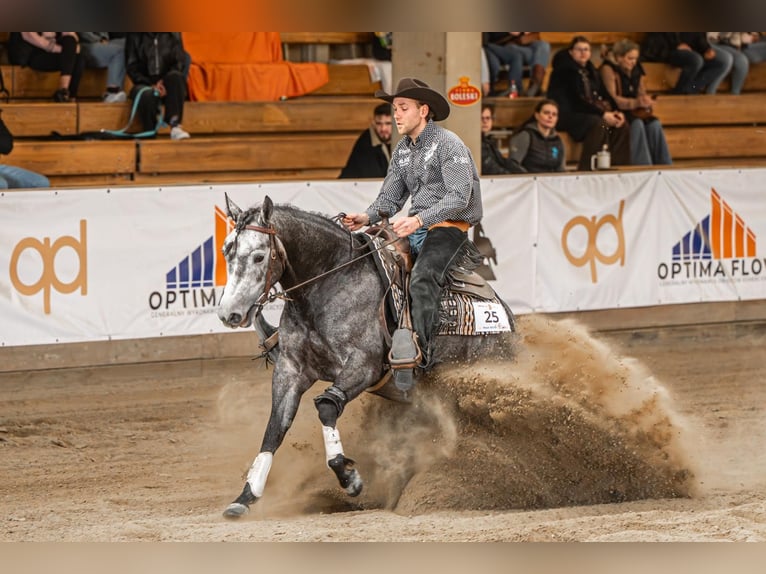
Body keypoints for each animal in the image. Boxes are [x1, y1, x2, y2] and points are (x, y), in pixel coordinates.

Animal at [217, 194, 518, 518]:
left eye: (259, 256)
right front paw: (246, 495)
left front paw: (348, 477)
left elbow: (326, 406)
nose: (228, 313)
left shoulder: (363, 367)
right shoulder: (291, 369)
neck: (331, 283)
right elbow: (275, 427)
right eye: (226, 252)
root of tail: (504, 313)